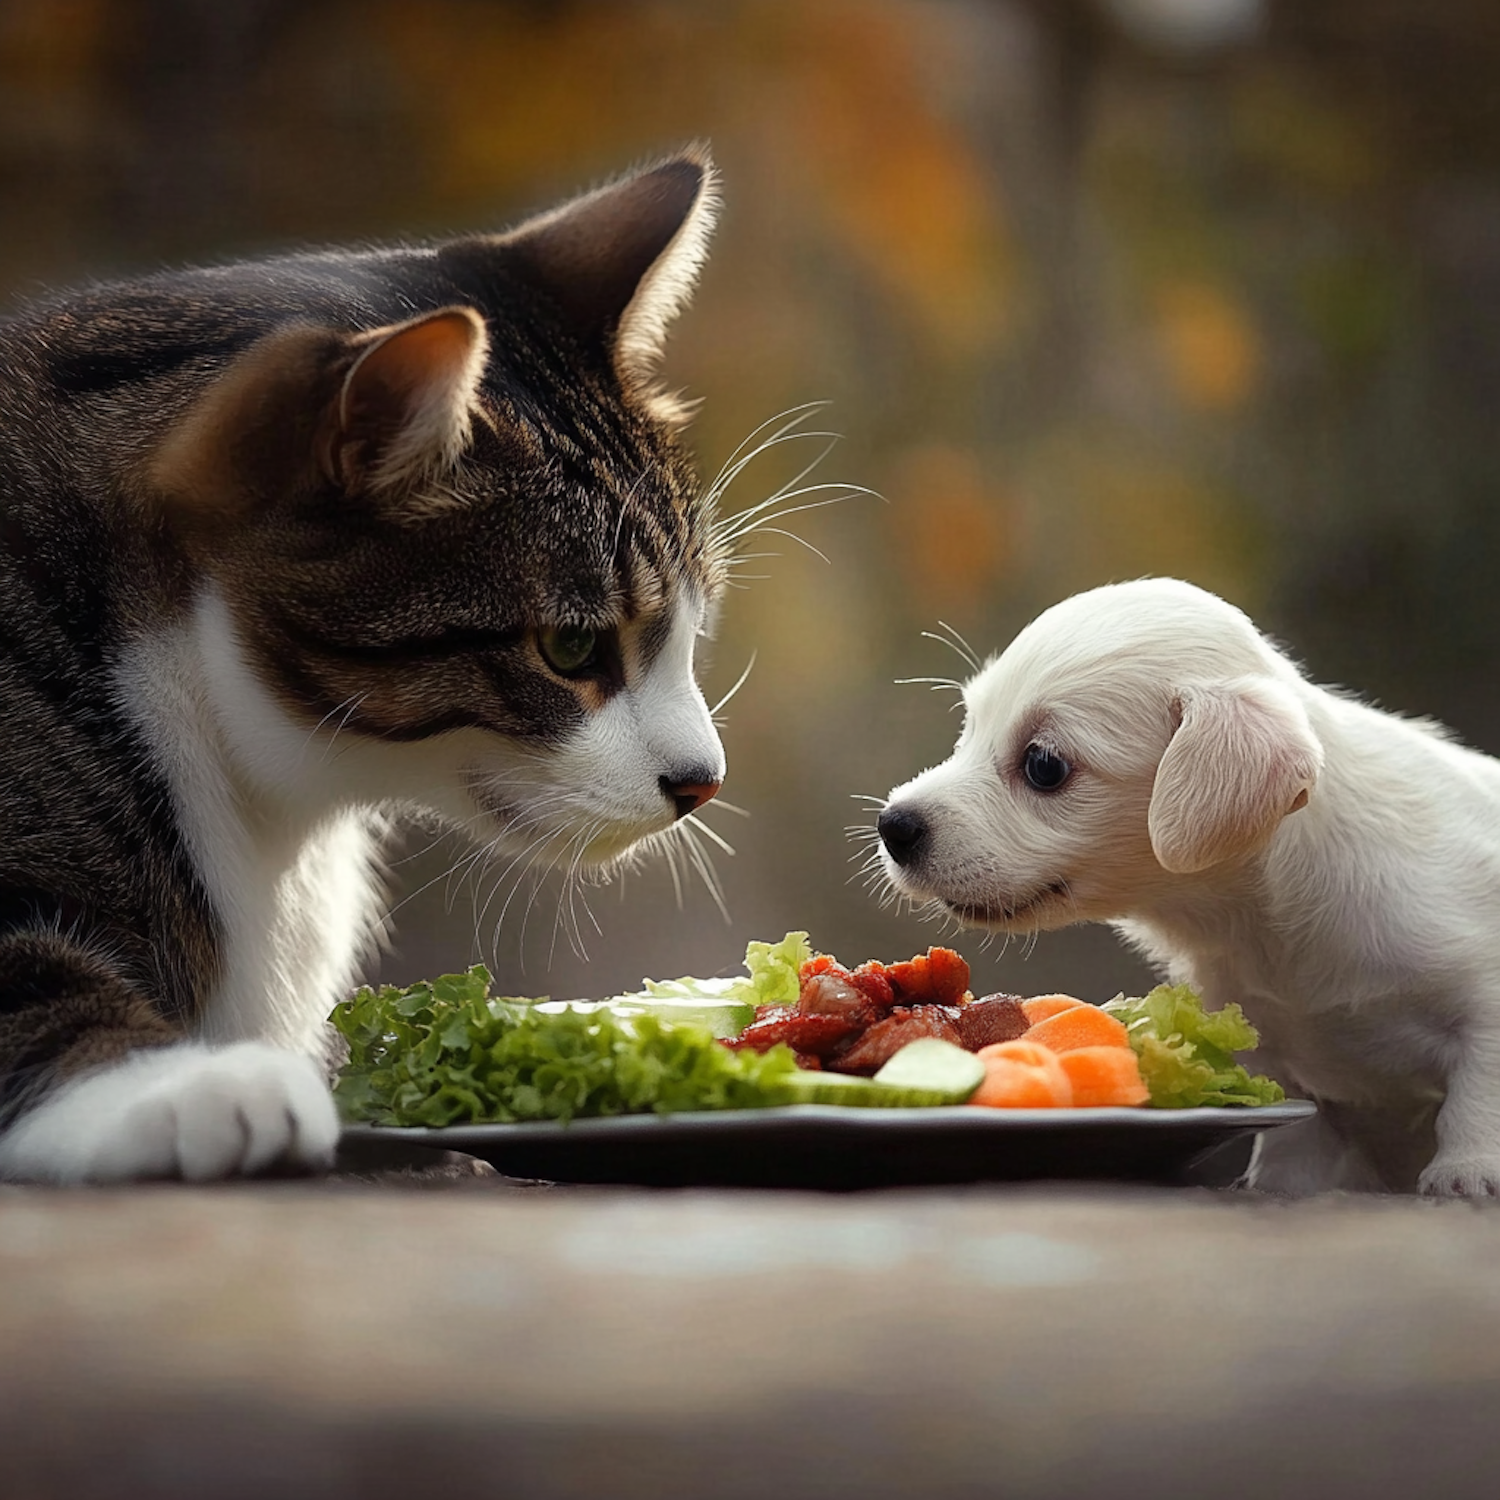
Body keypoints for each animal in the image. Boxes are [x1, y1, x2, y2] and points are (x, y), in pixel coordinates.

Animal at [876, 576, 1500, 1194]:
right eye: (969, 729)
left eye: (1044, 765)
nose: (893, 826)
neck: (1261, 925)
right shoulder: (1281, 1062)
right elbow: (1296, 1140)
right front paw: (1276, 1184)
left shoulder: (1483, 997)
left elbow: (1477, 1091)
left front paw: (1467, 1170)